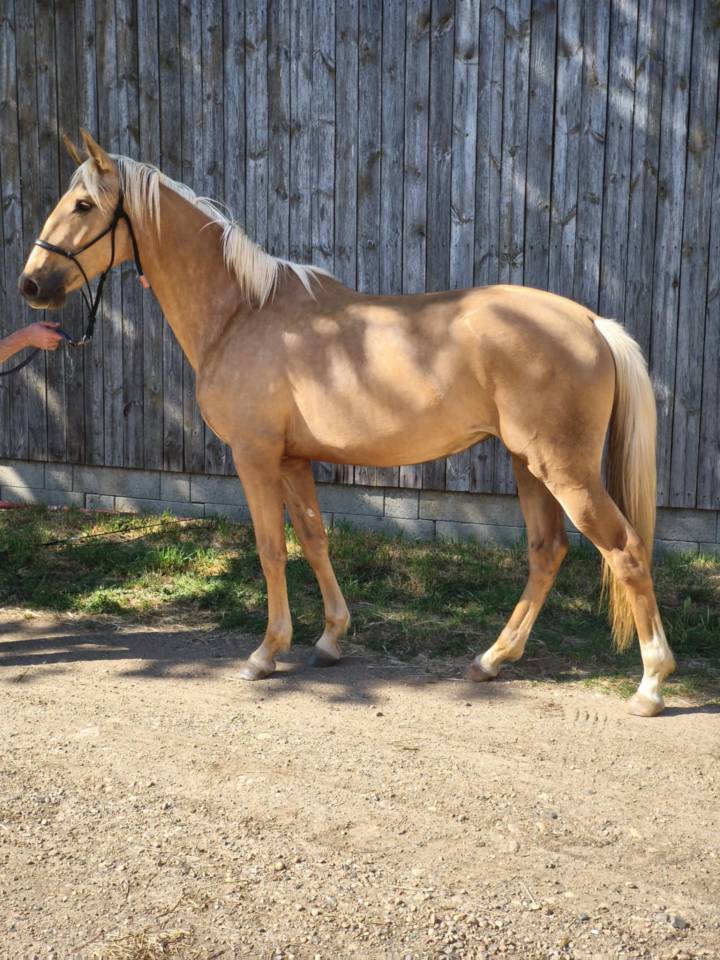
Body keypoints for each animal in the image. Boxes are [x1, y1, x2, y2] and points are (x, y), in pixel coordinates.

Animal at [18, 130, 676, 717]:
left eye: (83, 205)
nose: (31, 283)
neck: (243, 312)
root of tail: (592, 322)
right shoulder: (293, 459)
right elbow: (313, 541)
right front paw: (330, 640)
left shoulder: (255, 456)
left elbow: (270, 549)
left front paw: (265, 653)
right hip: (528, 465)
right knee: (546, 552)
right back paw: (491, 659)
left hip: (563, 470)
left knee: (625, 550)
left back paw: (650, 685)